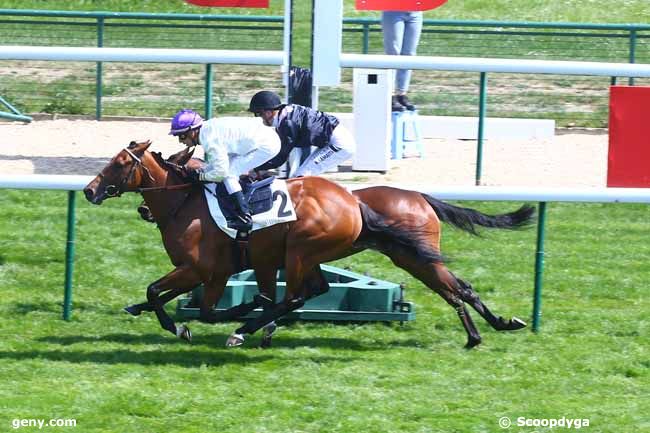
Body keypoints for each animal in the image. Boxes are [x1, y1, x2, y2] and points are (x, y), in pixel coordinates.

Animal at [83, 140, 536, 350]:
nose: (89, 191)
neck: (186, 203)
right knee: (458, 287)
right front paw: (147, 312)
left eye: (120, 164)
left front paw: (188, 325)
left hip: (308, 249)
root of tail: (354, 202)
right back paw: (494, 327)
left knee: (300, 295)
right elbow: (160, 296)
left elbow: (171, 297)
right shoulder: (213, 271)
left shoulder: (205, 269)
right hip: (384, 254)